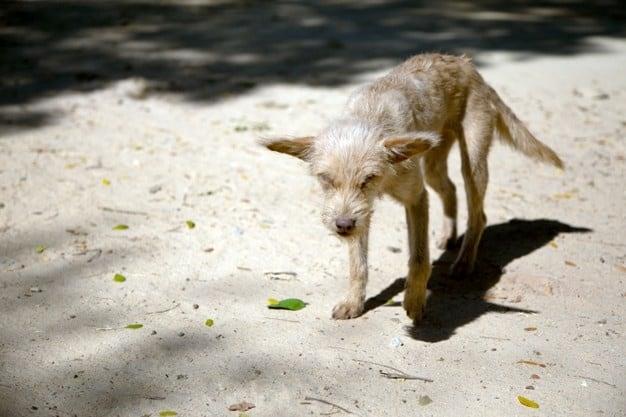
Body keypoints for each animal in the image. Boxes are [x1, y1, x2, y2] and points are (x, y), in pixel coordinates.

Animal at [258, 53, 560, 320]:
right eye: (325, 179)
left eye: (368, 179)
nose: (342, 226)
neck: (370, 116)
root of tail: (467, 64)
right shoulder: (361, 214)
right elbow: (358, 265)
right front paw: (354, 302)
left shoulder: (415, 199)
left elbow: (419, 258)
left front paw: (414, 300)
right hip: (434, 165)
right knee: (450, 190)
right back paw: (448, 235)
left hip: (472, 165)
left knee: (479, 214)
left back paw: (464, 261)